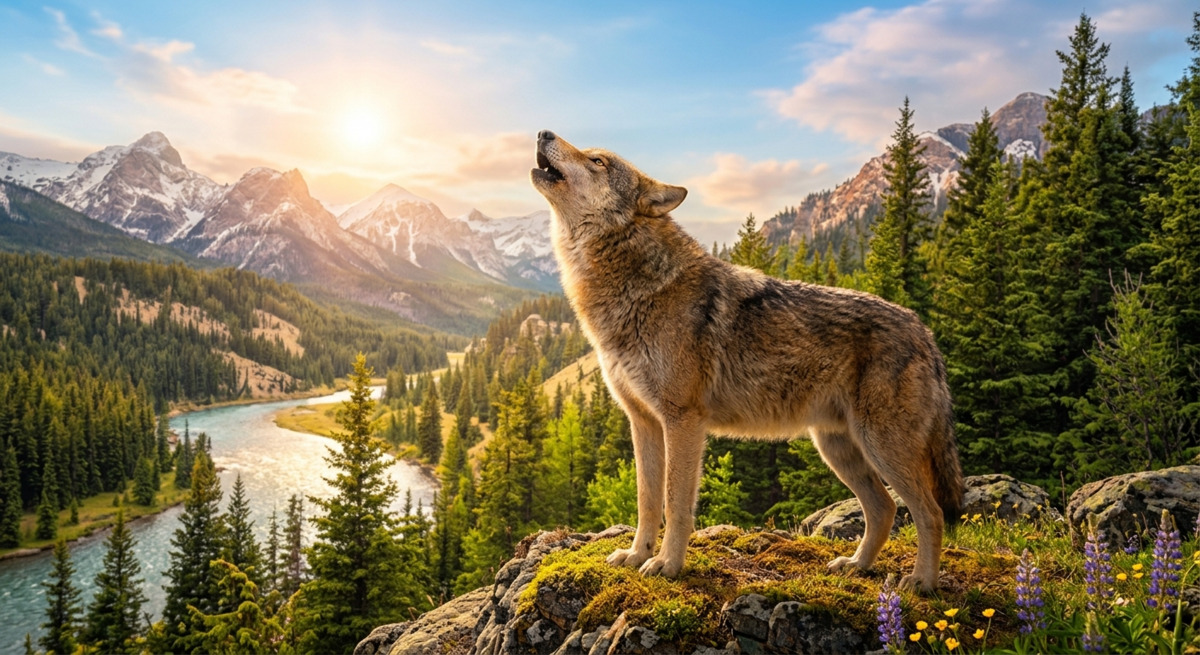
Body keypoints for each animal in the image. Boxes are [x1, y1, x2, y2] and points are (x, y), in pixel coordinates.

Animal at [530, 130, 963, 592]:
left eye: (598, 161)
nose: (542, 132)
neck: (636, 286)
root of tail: (925, 331)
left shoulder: (683, 422)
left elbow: (675, 504)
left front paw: (667, 566)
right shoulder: (643, 422)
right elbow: (647, 501)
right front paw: (636, 555)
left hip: (881, 446)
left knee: (929, 513)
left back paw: (921, 583)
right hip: (838, 448)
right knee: (883, 508)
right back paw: (856, 565)